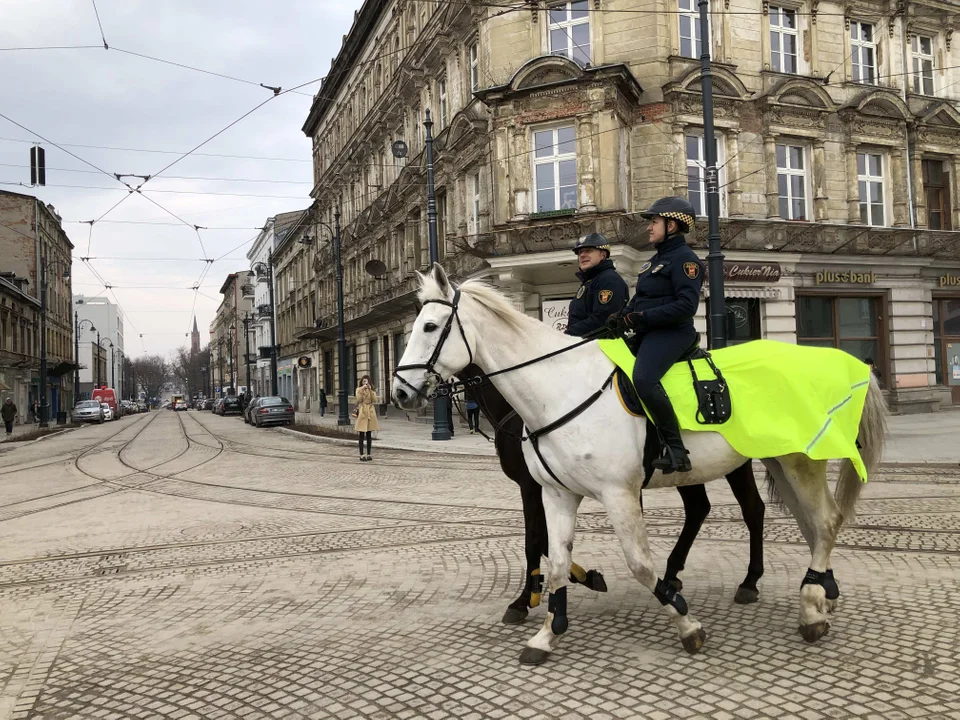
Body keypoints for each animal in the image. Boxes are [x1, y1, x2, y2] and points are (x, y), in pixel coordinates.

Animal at [462, 366, 768, 624]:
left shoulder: (531, 487)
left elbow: (534, 542)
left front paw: (523, 600)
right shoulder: (550, 489)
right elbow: (548, 543)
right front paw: (586, 577)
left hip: (734, 463)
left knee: (752, 509)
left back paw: (749, 582)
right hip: (692, 472)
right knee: (698, 509)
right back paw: (672, 574)